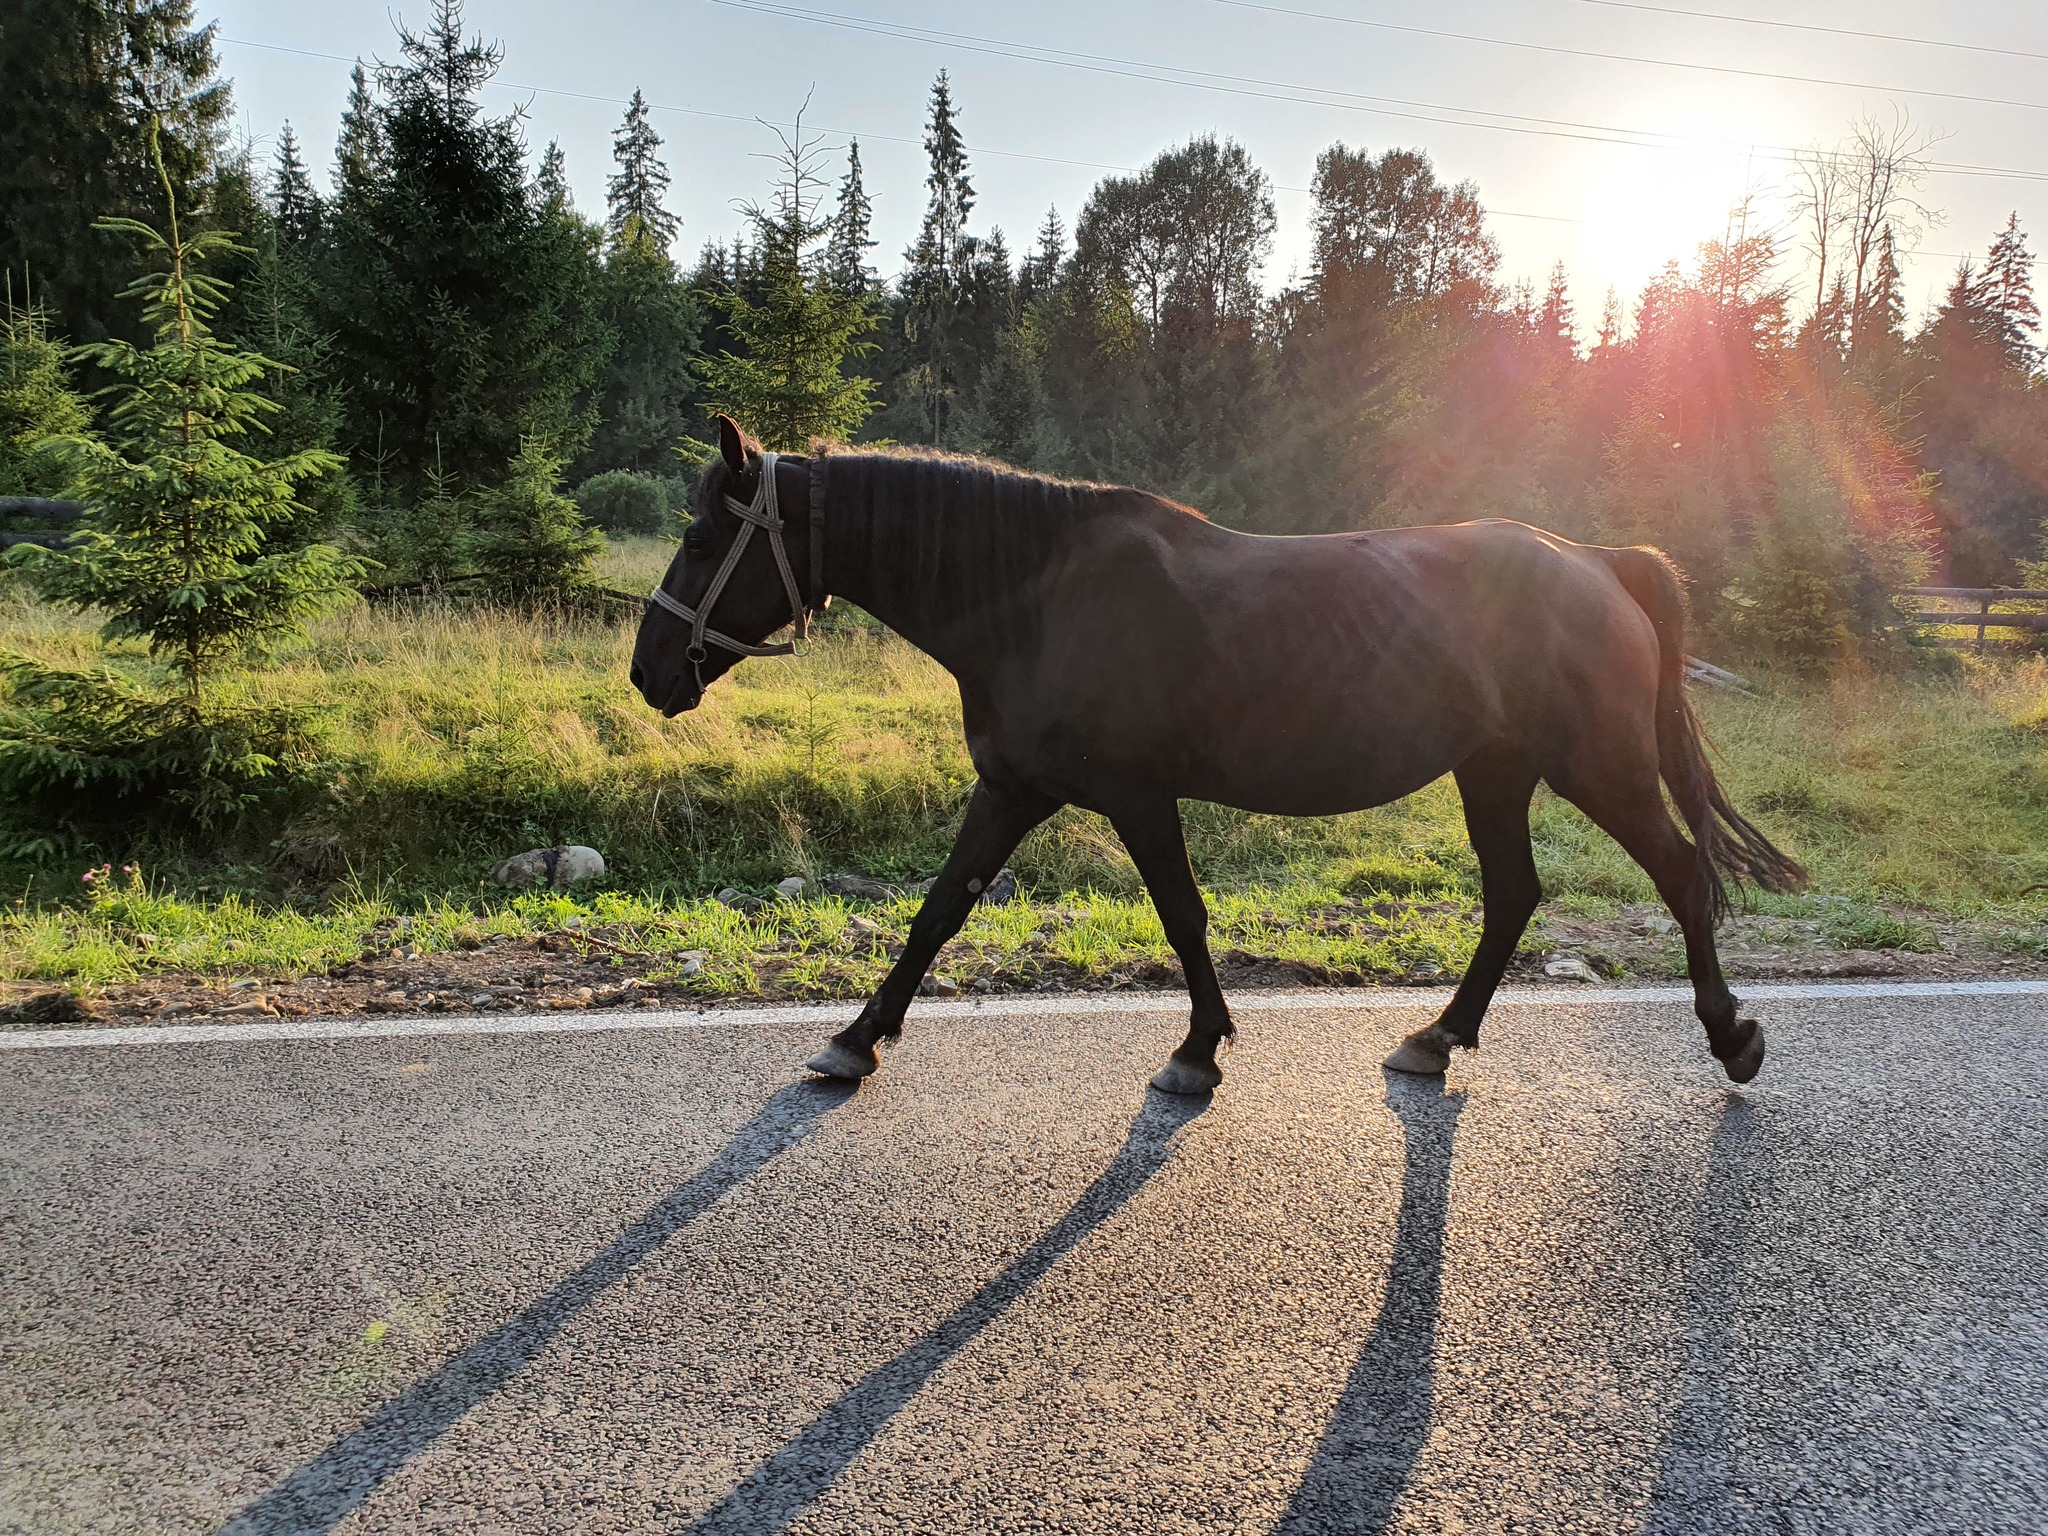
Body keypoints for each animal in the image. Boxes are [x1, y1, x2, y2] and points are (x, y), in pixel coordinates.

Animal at [630, 415, 1802, 1097]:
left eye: (700, 538)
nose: (648, 672)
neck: (1038, 598)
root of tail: (1597, 563)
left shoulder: (1137, 797)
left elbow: (1182, 915)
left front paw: (1197, 1051)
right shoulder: (1011, 789)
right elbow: (937, 912)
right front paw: (858, 1037)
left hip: (1595, 766)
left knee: (1679, 872)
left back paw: (1730, 1036)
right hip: (1494, 770)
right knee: (1514, 895)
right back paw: (1434, 1037)